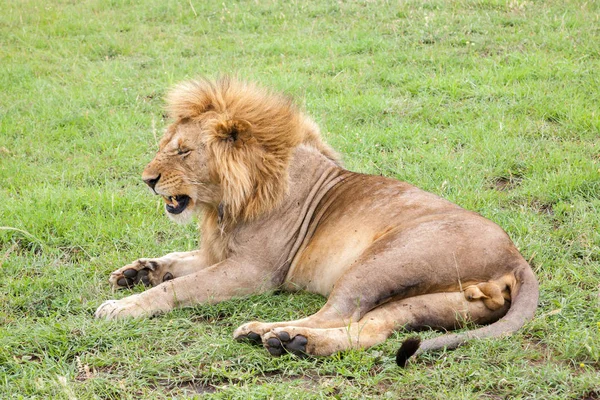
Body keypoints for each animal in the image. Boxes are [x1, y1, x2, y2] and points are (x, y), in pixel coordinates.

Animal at [95, 76, 540, 366]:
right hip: (430, 302)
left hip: (382, 260)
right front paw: (137, 271)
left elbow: (179, 287)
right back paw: (294, 341)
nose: (147, 180)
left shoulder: (256, 271)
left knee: (337, 313)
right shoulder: (219, 252)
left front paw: (122, 306)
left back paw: (270, 333)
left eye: (183, 151)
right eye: (166, 147)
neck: (226, 202)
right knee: (369, 329)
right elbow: (177, 259)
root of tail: (516, 258)